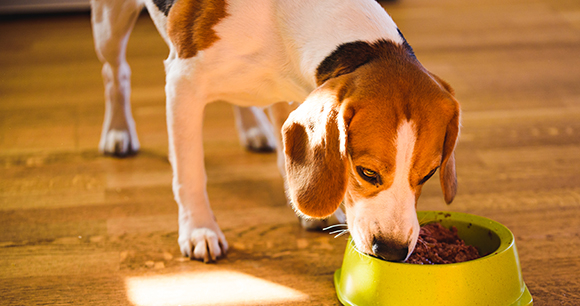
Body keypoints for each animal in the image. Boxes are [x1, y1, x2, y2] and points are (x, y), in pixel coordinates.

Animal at [92, 0, 458, 262]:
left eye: (427, 175)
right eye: (366, 172)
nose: (393, 251)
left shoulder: (295, 91)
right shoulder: (183, 83)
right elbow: (190, 173)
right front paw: (199, 229)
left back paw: (254, 128)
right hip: (110, 24)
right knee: (115, 73)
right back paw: (118, 132)